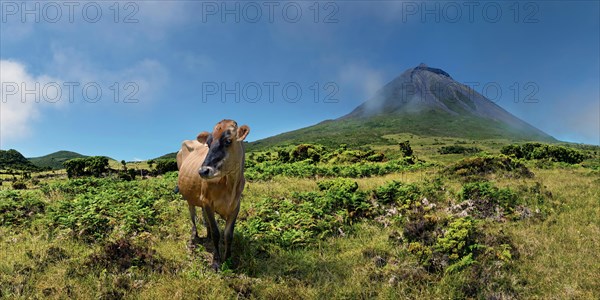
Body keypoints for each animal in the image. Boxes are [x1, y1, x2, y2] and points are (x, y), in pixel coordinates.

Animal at [175, 119, 250, 270]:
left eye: (228, 140)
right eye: (208, 144)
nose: (203, 171)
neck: (230, 184)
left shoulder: (236, 206)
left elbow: (228, 235)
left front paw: (228, 258)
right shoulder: (208, 202)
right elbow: (216, 233)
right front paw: (216, 261)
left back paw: (207, 233)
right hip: (189, 197)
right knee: (192, 214)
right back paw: (195, 235)